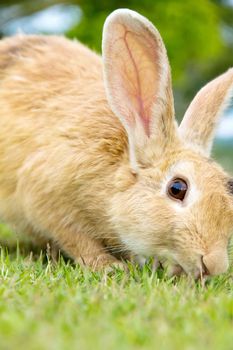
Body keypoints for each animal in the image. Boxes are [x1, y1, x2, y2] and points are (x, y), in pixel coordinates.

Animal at [0, 8, 233, 278]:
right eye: (177, 188)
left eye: (229, 186)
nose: (215, 265)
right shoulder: (44, 197)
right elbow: (77, 240)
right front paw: (109, 267)